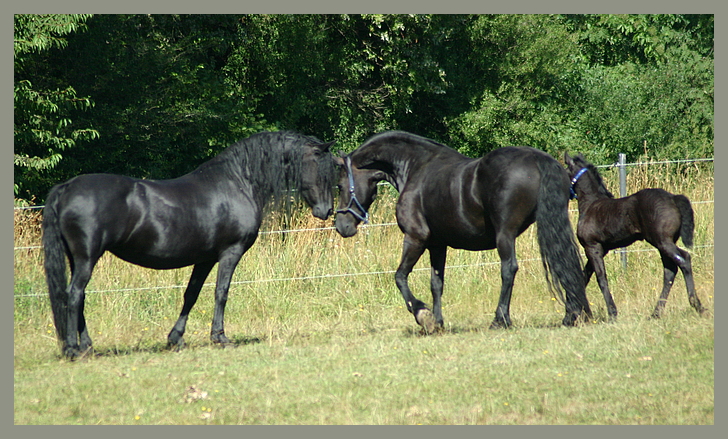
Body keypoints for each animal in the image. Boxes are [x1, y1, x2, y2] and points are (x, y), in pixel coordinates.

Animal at [42, 131, 332, 360]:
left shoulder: (205, 258)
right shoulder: (230, 252)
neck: (238, 183)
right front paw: (220, 337)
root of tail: (66, 187)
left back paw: (87, 346)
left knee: (78, 296)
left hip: (77, 258)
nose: (327, 211)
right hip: (87, 257)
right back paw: (73, 349)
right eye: (322, 169)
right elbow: (221, 292)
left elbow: (191, 295)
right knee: (74, 294)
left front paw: (176, 338)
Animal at [336, 131, 592, 334]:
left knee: (509, 269)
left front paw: (423, 316)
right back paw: (572, 314)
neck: (416, 167)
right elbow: (436, 283)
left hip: (505, 234)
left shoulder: (416, 238)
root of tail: (538, 159)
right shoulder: (437, 244)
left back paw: (500, 319)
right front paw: (438, 322)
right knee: (565, 261)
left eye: (339, 185)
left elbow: (400, 276)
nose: (341, 226)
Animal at [564, 153, 704, 322]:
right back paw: (655, 313)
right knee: (670, 271)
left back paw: (697, 305)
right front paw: (569, 317)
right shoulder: (600, 249)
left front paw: (612, 313)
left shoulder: (592, 247)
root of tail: (672, 197)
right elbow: (584, 277)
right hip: (663, 243)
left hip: (663, 241)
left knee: (684, 259)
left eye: (565, 170)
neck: (591, 204)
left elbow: (601, 279)